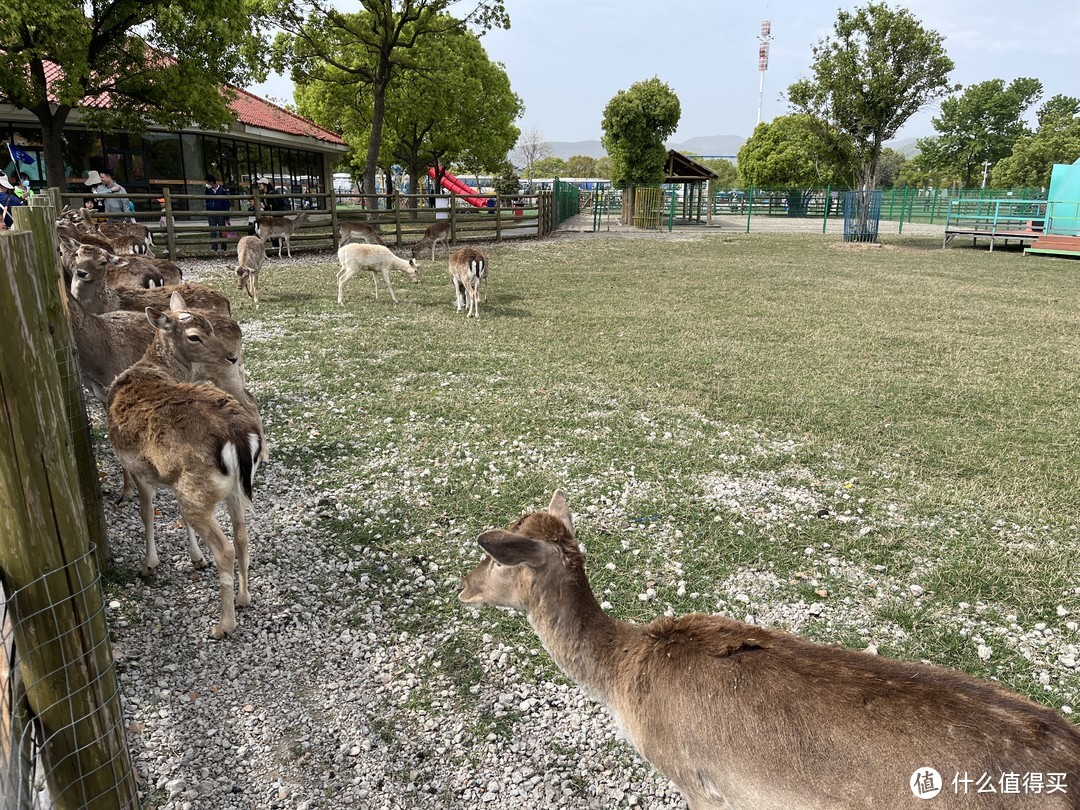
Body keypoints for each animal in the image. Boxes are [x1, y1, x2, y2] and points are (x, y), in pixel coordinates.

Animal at [107, 291, 263, 639]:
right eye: (195, 334)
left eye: (211, 327)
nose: (231, 357)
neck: (151, 368)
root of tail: (237, 436)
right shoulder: (173, 477)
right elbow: (179, 518)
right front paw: (195, 559)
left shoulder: (138, 468)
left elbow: (146, 511)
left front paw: (149, 563)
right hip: (228, 490)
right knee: (242, 535)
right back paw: (244, 598)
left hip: (198, 491)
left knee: (225, 548)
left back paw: (223, 624)